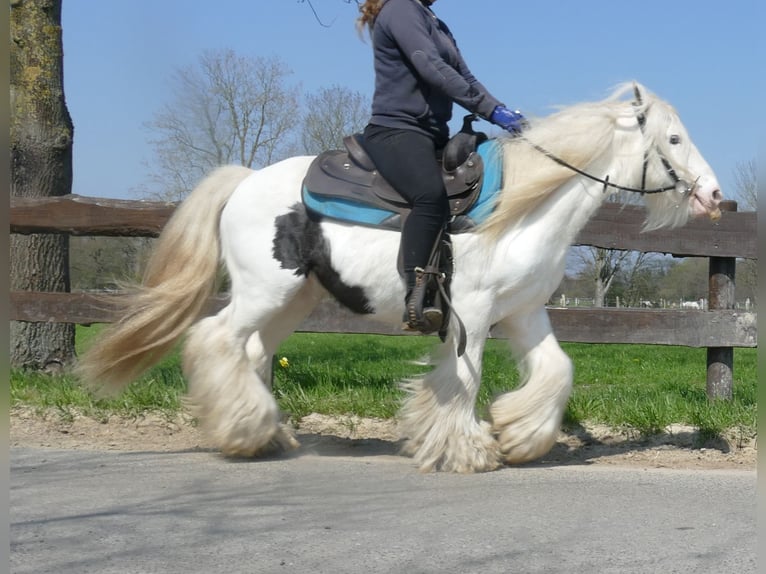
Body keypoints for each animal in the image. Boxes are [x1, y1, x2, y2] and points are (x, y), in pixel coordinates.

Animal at [79, 83, 728, 474]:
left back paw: (266, 434)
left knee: (252, 351)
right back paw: (244, 430)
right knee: (217, 339)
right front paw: (464, 450)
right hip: (267, 290)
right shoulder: (470, 313)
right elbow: (463, 381)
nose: (715, 195)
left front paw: (520, 437)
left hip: (293, 300)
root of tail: (243, 181)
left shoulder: (523, 313)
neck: (522, 207)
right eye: (673, 138)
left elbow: (557, 371)